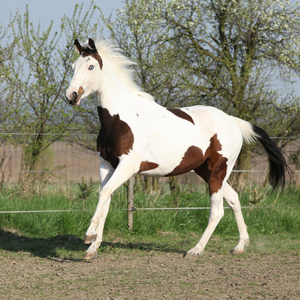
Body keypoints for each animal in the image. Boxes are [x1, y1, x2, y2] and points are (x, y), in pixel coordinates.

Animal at [66, 38, 288, 260]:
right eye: (73, 66)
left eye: (91, 66)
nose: (71, 96)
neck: (120, 118)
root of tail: (234, 121)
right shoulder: (107, 165)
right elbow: (105, 200)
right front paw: (92, 248)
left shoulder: (128, 165)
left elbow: (104, 194)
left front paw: (89, 235)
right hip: (206, 171)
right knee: (234, 199)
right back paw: (240, 245)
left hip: (219, 171)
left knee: (217, 212)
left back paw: (195, 250)